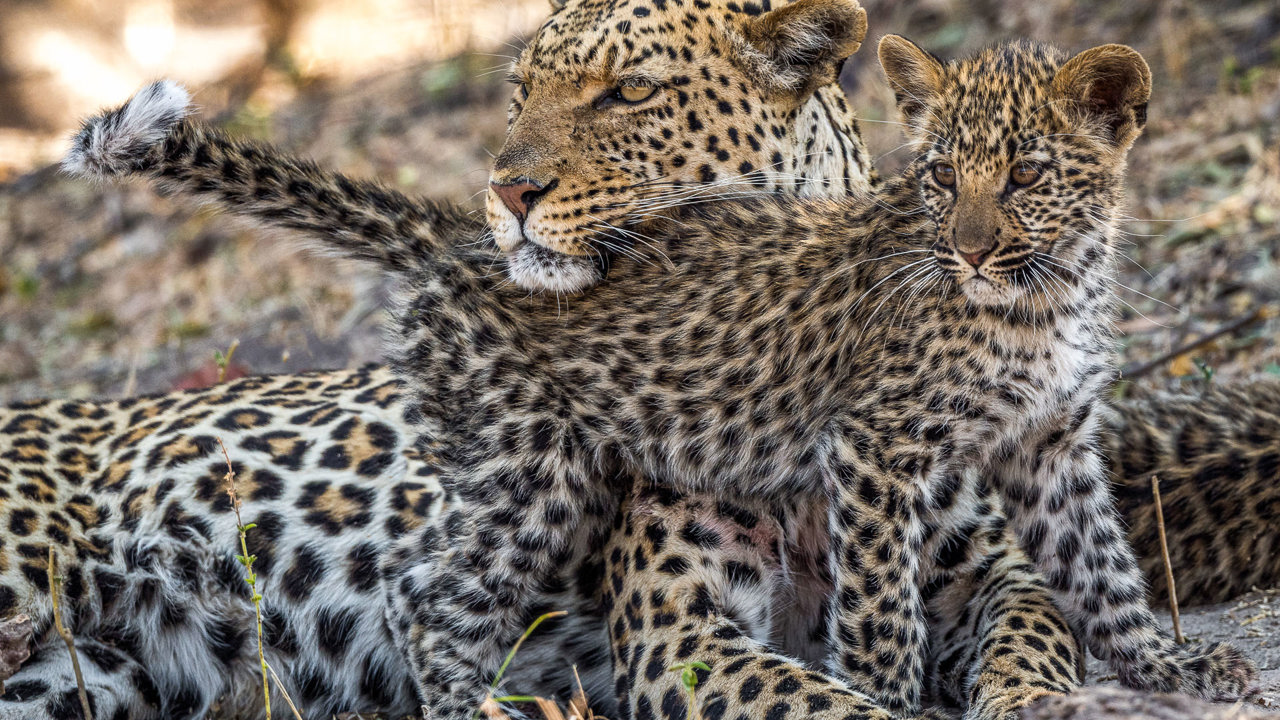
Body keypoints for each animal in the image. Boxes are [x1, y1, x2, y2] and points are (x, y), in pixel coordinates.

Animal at [70, 30, 1263, 718]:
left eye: (1022, 175)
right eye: (938, 177)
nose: (966, 248)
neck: (1042, 293)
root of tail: (466, 239)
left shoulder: (1049, 444)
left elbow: (1103, 576)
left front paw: (1171, 673)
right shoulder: (875, 449)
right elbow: (882, 608)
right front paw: (888, 696)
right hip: (534, 469)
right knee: (429, 599)